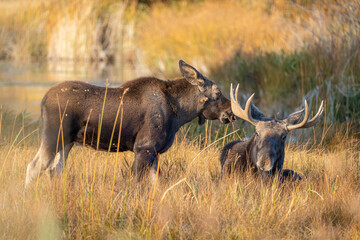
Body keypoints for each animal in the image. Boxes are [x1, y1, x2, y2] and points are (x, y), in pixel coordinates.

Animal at [26, 59, 238, 186]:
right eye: (217, 92)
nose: (231, 112)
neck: (180, 113)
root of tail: (43, 100)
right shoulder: (144, 147)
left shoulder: (154, 152)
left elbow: (155, 184)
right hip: (54, 135)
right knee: (34, 167)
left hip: (67, 142)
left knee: (54, 169)